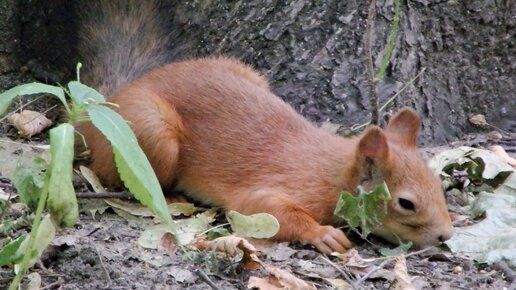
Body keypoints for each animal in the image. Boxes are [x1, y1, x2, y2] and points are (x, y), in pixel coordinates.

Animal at [75, 1, 452, 253]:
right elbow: (268, 209)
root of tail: (103, 106)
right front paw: (322, 234)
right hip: (151, 133)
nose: (446, 235)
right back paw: (171, 196)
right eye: (406, 203)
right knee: (118, 176)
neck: (333, 171)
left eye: (438, 184)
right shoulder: (278, 188)